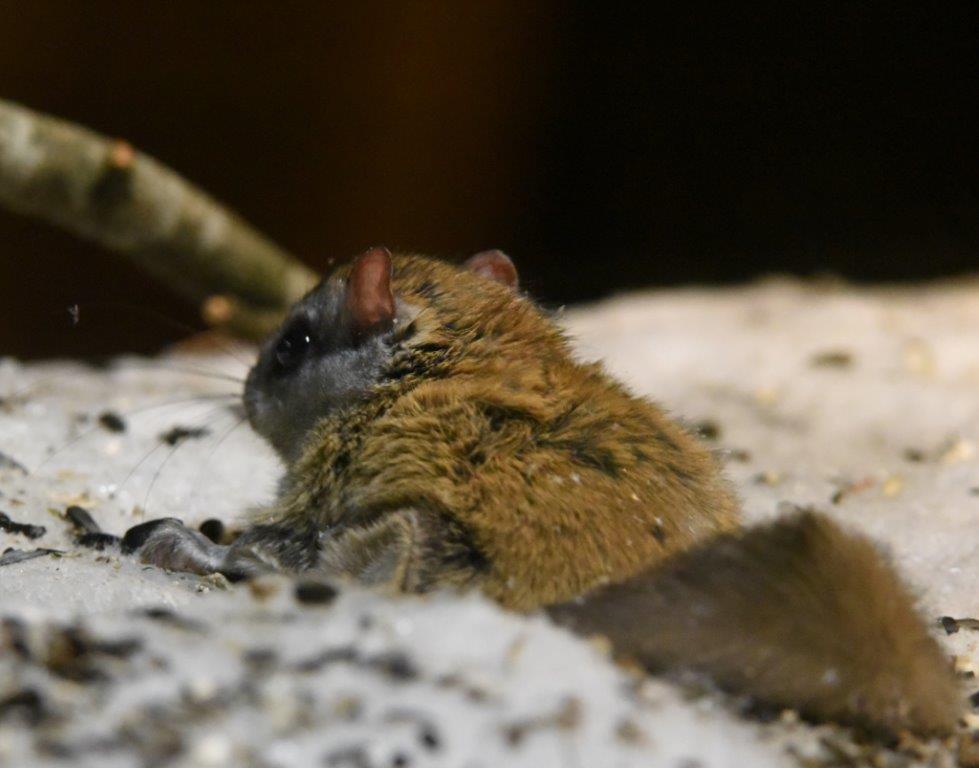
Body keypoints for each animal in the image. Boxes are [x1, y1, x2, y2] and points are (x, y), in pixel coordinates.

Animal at [128, 246, 959, 737]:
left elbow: (280, 543)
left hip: (415, 544)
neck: (452, 355)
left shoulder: (338, 474)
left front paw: (192, 543)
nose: (243, 393)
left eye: (293, 344)